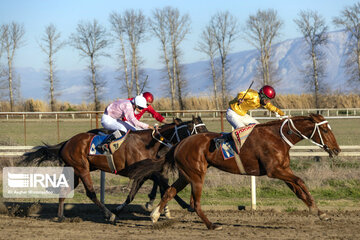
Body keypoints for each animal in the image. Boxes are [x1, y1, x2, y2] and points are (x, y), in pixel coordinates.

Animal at [21, 116, 208, 223]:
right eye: (198, 129)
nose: (207, 142)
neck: (149, 142)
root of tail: (66, 143)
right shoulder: (139, 170)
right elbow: (161, 184)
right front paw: (184, 205)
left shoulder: (144, 171)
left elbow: (141, 191)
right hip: (82, 169)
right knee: (91, 193)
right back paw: (109, 214)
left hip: (75, 171)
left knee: (64, 189)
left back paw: (61, 216)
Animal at [141, 114, 340, 231]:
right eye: (324, 129)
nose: (337, 150)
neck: (279, 137)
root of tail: (180, 143)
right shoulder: (274, 171)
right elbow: (300, 181)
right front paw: (316, 210)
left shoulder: (283, 169)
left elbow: (298, 189)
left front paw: (320, 212)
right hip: (197, 176)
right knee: (194, 203)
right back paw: (211, 225)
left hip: (186, 174)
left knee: (170, 191)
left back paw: (155, 215)